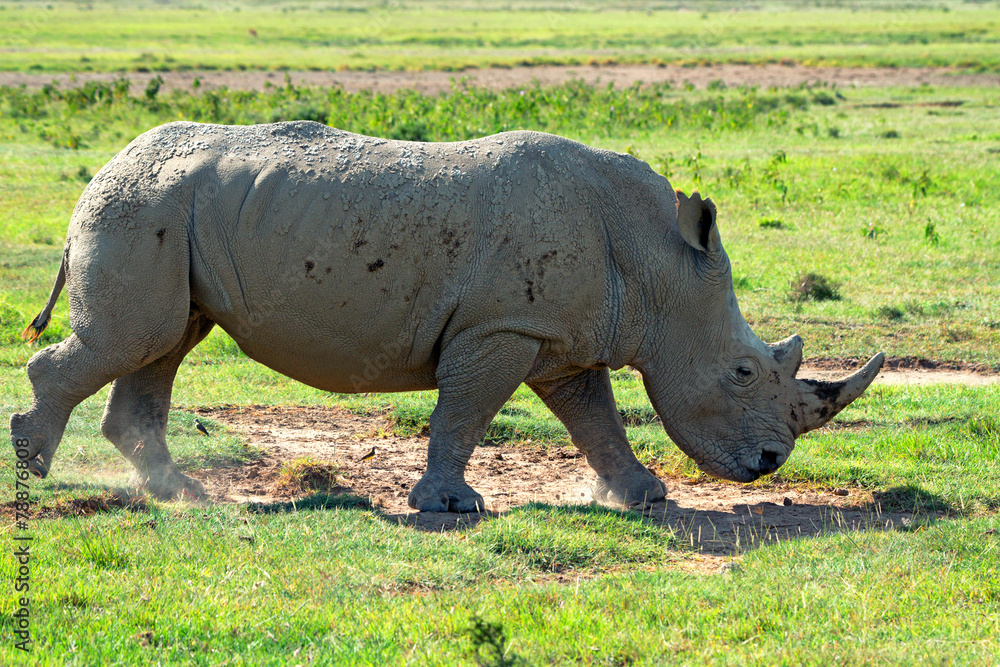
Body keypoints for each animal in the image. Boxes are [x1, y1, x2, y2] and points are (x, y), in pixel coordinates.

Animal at [10, 121, 883, 512]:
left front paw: (641, 498)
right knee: (137, 341)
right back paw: (33, 467)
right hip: (140, 212)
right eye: (742, 370)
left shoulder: (557, 337)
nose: (770, 461)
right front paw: (451, 506)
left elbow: (595, 419)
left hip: (171, 216)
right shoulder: (500, 329)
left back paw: (181, 493)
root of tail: (104, 167)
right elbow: (464, 412)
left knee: (164, 343)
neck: (658, 263)